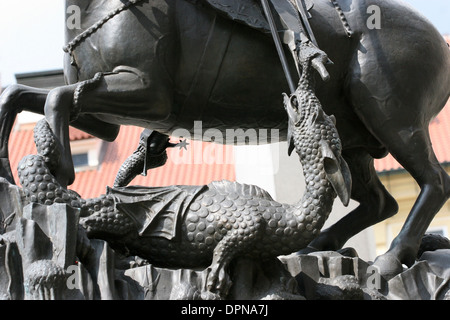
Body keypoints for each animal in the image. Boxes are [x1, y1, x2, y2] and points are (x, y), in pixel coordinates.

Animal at [0, 0, 448, 280]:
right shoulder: (106, 115)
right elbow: (20, 95)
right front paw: (12, 169)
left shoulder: (145, 92)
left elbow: (56, 97)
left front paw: (58, 164)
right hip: (353, 139)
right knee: (379, 201)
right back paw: (318, 246)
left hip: (391, 115)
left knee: (434, 182)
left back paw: (389, 260)